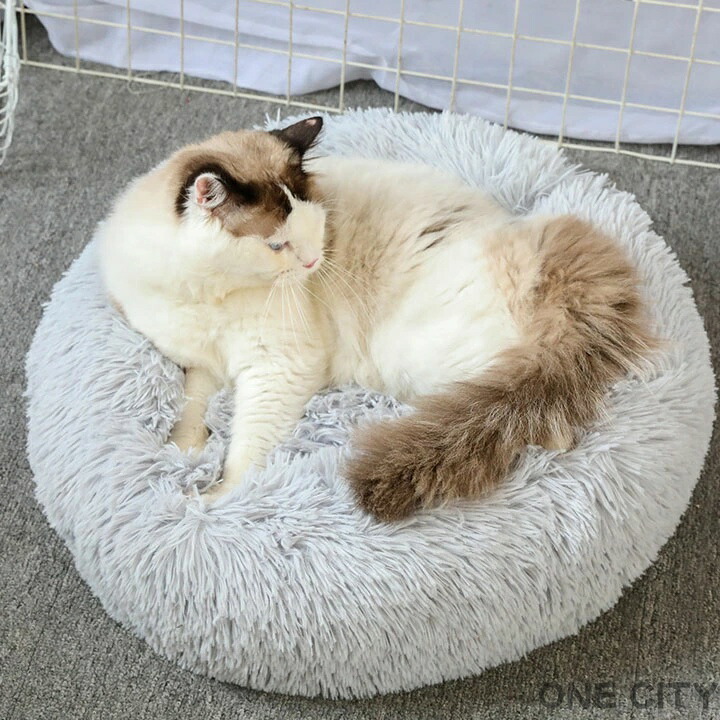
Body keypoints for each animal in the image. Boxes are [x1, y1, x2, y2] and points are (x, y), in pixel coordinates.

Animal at [99, 116, 655, 520]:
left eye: (316, 229)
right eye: (277, 245)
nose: (311, 263)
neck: (208, 293)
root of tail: (558, 266)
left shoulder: (277, 368)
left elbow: (245, 446)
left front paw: (214, 500)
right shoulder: (200, 361)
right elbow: (191, 409)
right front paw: (184, 454)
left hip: (427, 360)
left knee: (542, 427)